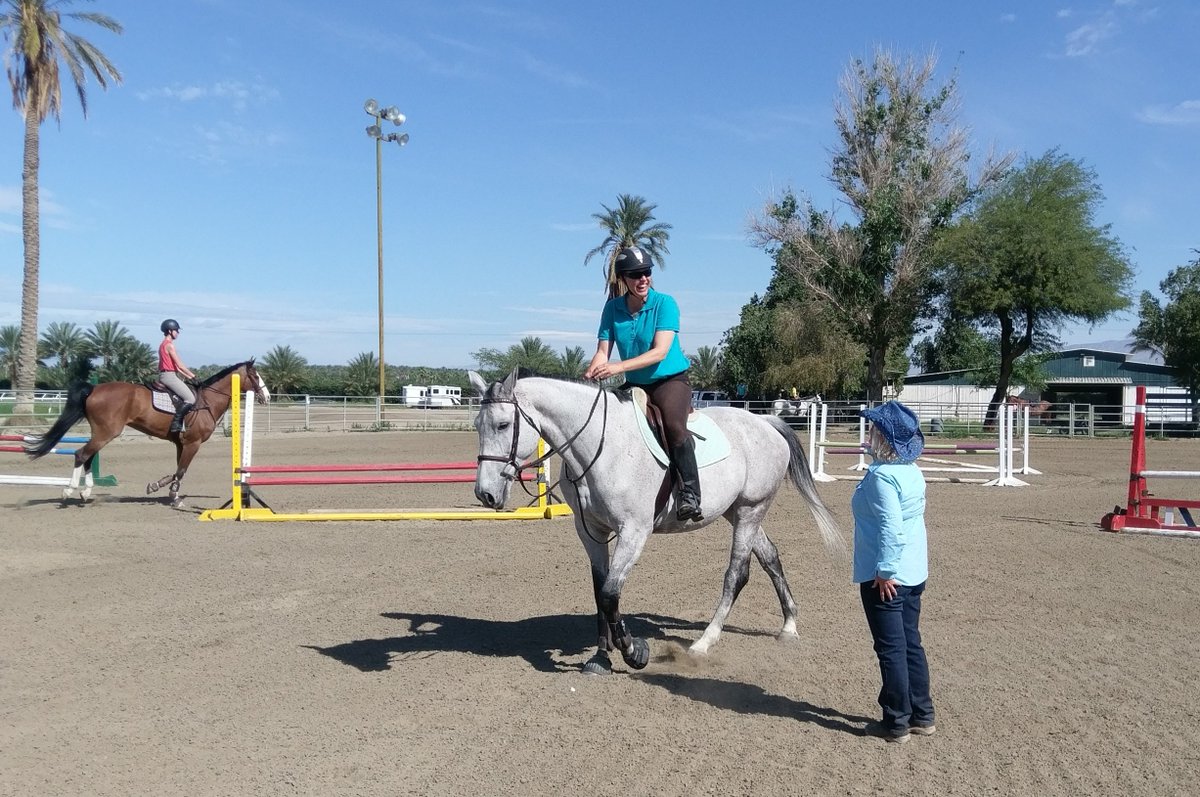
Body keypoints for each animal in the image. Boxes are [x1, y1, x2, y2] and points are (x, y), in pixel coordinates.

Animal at [24, 360, 270, 504]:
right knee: (81, 454)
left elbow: (178, 470)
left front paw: (162, 488)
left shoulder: (181, 444)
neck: (207, 400)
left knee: (88, 456)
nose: (267, 397)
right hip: (106, 433)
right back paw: (70, 491)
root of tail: (94, 389)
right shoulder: (193, 443)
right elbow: (181, 470)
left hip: (101, 434)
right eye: (256, 376)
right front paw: (171, 495)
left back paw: (86, 492)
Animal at [468, 369, 844, 676]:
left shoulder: (634, 532)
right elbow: (600, 594)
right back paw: (789, 625)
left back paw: (704, 643)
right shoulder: (591, 532)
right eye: (477, 426)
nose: (485, 494)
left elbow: (611, 593)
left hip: (751, 510)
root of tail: (766, 423)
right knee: (770, 557)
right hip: (737, 511)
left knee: (736, 574)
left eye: (503, 425)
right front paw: (601, 658)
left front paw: (634, 652)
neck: (599, 447)